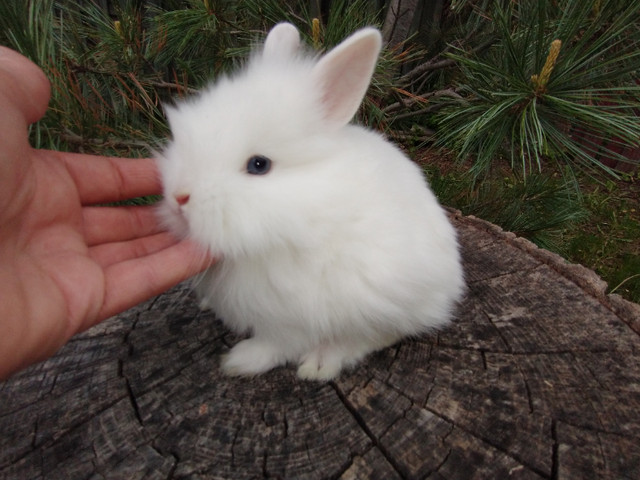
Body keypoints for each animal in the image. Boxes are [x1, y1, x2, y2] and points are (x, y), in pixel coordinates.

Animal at [156, 23, 464, 382]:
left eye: (259, 165)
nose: (179, 197)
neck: (304, 209)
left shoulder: (289, 314)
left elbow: (277, 343)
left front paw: (240, 361)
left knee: (379, 334)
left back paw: (321, 363)